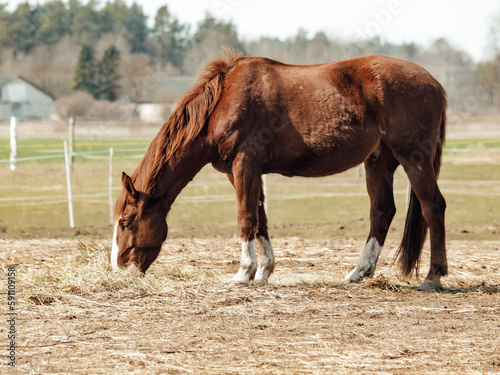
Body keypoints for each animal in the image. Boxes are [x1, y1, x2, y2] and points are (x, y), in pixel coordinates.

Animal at [111, 48, 448, 292]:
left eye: (126, 222)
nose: (118, 267)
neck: (224, 101)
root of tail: (435, 84)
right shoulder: (244, 171)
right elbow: (260, 219)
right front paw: (263, 272)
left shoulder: (244, 164)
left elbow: (246, 218)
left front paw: (243, 273)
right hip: (379, 161)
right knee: (382, 211)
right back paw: (359, 272)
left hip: (413, 158)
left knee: (433, 207)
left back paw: (433, 277)